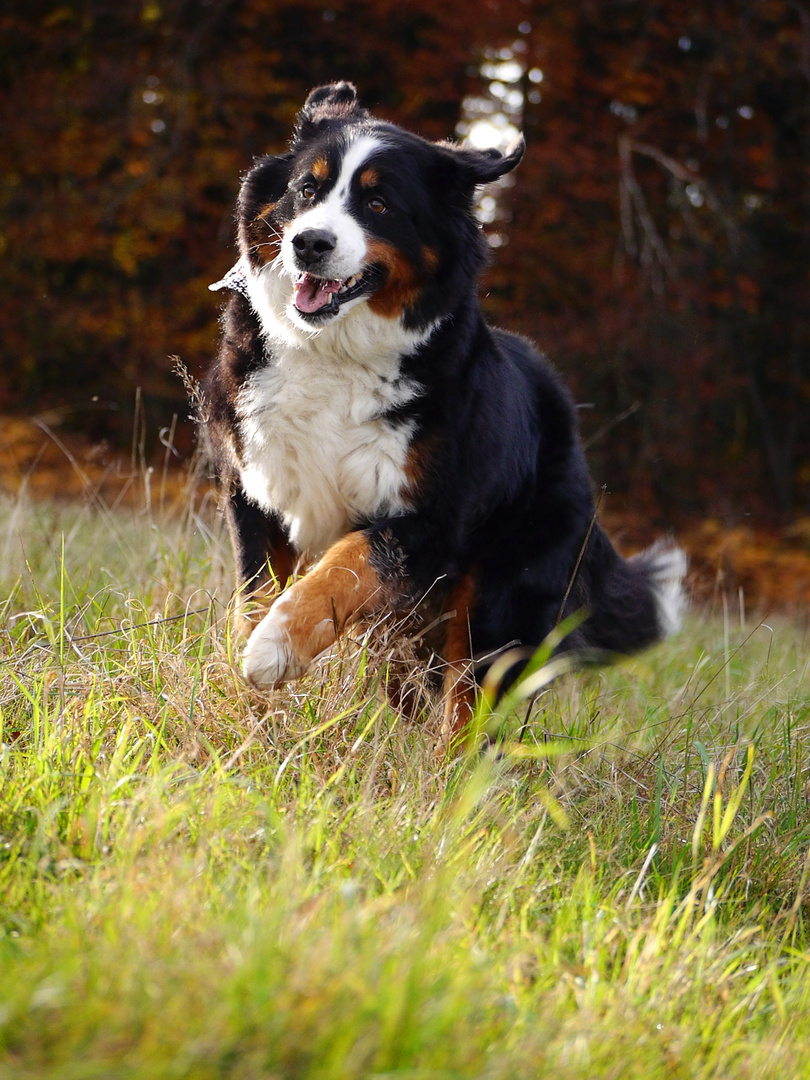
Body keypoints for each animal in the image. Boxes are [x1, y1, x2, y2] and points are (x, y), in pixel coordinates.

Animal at [201, 82, 686, 743]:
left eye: (378, 203)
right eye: (307, 188)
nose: (310, 242)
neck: (333, 353)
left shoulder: (429, 516)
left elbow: (345, 564)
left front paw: (275, 647)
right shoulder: (256, 494)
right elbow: (254, 597)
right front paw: (254, 704)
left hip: (494, 603)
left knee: (466, 707)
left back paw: (446, 767)